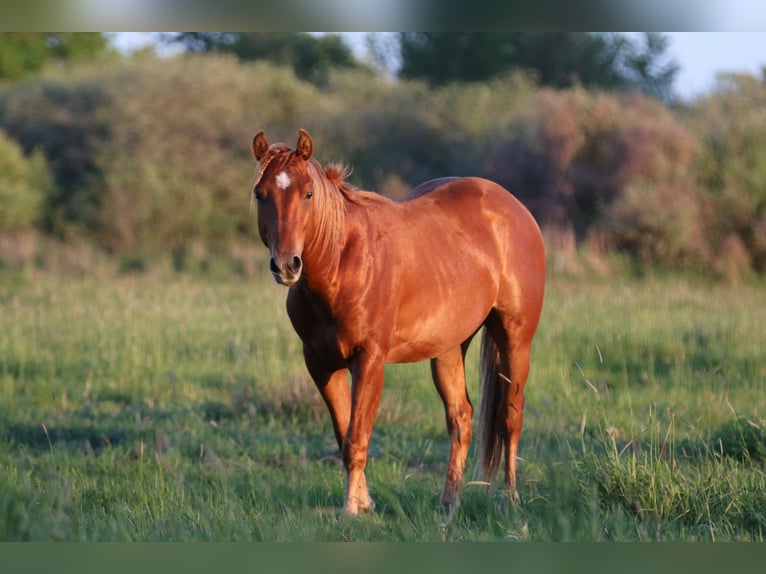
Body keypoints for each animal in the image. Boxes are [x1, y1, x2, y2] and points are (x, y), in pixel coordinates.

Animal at [251, 129, 545, 516]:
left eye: (308, 194)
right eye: (260, 194)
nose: (287, 265)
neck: (341, 263)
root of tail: (515, 209)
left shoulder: (369, 360)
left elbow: (356, 439)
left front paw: (350, 512)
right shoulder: (320, 363)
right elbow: (343, 434)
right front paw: (364, 504)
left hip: (515, 340)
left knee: (510, 416)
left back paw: (510, 498)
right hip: (449, 348)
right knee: (461, 418)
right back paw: (449, 504)